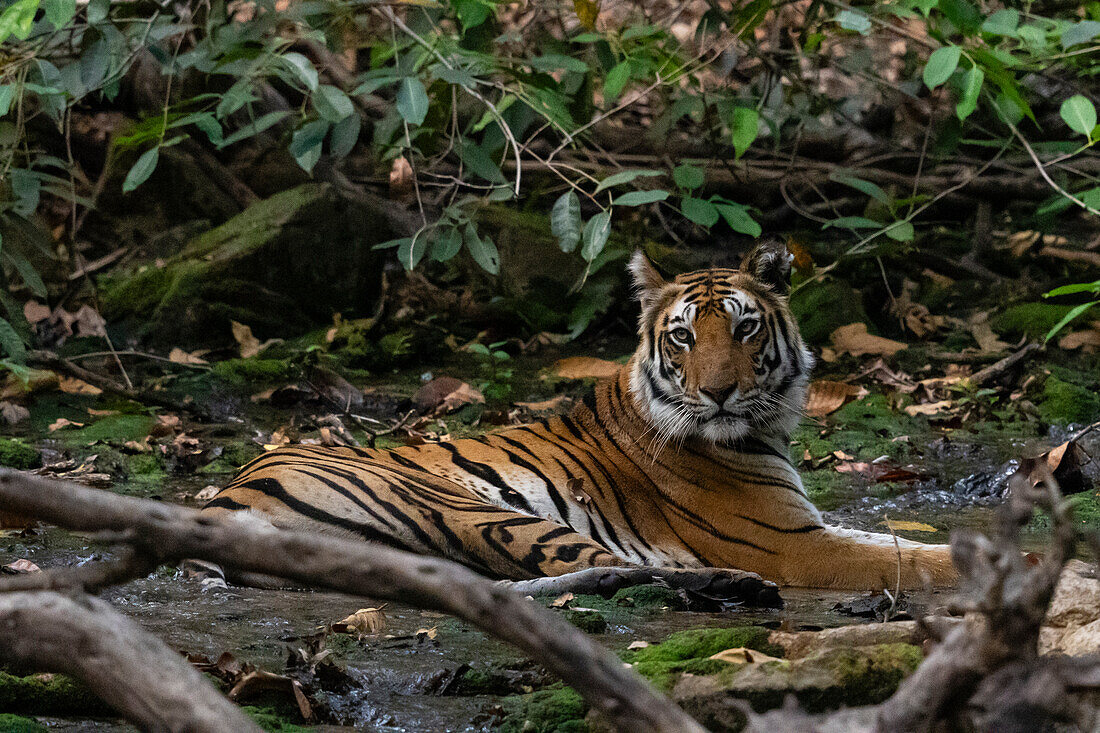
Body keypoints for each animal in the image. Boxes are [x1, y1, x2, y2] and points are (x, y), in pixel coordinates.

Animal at [202, 242, 959, 589]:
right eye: (684, 337)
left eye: (744, 329)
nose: (718, 393)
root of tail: (224, 494)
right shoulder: (791, 543)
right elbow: (909, 559)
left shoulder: (809, 524)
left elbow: (897, 541)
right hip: (469, 508)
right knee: (589, 570)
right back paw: (725, 583)